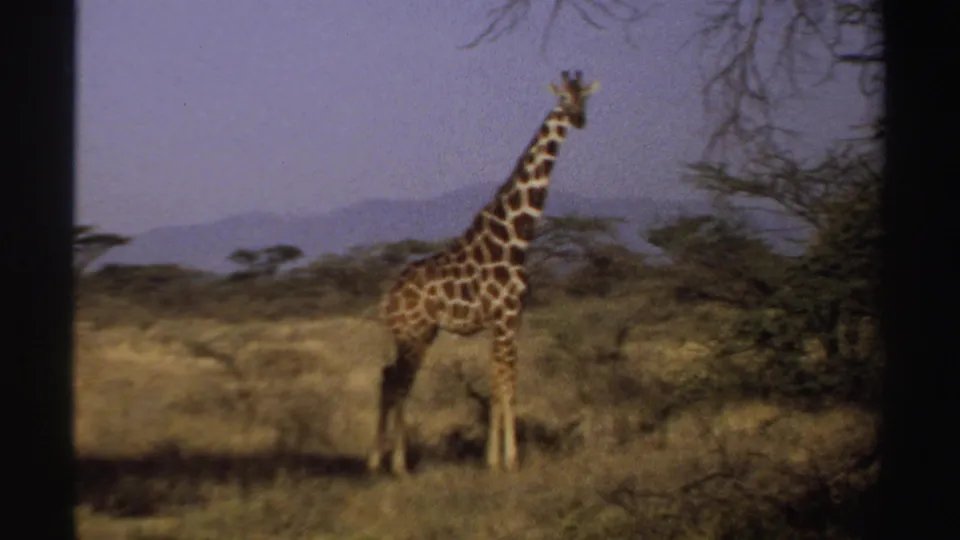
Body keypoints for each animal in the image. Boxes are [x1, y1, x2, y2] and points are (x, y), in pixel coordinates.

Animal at [367, 70, 599, 475]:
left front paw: (492, 459)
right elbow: (509, 383)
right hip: (412, 333)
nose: (579, 119)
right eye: (563, 100)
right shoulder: (507, 315)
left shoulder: (507, 319)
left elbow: (496, 381)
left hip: (419, 333)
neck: (515, 237)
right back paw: (397, 463)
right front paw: (511, 459)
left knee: (389, 377)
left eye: (583, 97)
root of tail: (389, 297)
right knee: (398, 382)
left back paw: (379, 461)